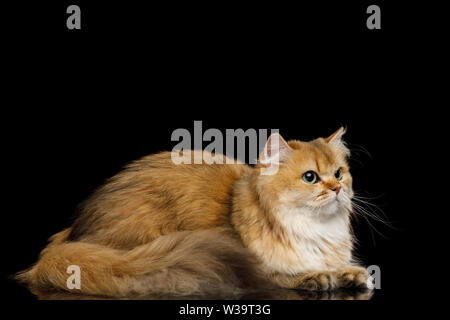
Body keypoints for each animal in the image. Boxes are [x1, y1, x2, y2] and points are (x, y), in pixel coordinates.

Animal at [15, 127, 370, 298]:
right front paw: (319, 276)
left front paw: (350, 273)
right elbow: (286, 274)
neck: (316, 229)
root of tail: (68, 238)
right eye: (310, 177)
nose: (336, 189)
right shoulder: (259, 266)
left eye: (339, 174)